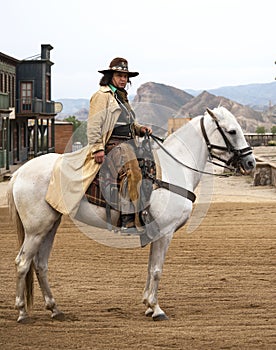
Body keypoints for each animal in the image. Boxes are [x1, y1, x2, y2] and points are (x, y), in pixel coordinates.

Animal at [7, 106, 256, 322]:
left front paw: (148, 305)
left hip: (51, 225)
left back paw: (55, 309)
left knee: (40, 264)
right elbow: (156, 270)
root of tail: (20, 172)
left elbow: (149, 268)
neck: (173, 170)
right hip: (36, 230)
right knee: (22, 263)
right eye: (232, 131)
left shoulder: (156, 233)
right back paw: (22, 312)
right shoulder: (165, 233)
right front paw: (156, 309)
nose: (250, 162)